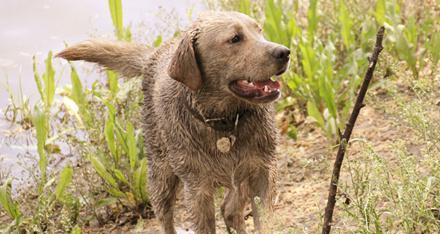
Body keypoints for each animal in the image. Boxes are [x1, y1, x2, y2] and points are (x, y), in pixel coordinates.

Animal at [58, 11, 290, 234]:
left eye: (259, 30)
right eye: (235, 38)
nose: (284, 52)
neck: (224, 122)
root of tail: (154, 55)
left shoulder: (263, 171)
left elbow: (265, 221)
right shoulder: (197, 190)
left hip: (240, 175)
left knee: (229, 209)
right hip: (161, 176)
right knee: (166, 218)